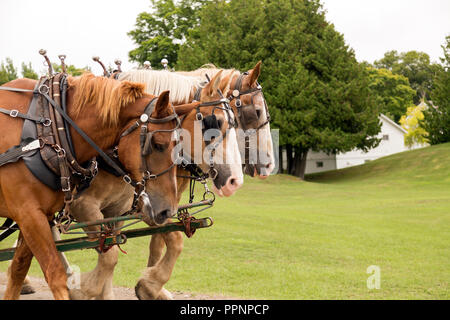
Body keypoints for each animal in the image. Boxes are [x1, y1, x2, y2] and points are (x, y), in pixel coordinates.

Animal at [0, 74, 197, 298]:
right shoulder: (33, 213)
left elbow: (18, 270)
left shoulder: (42, 214)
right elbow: (56, 273)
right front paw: (81, 288)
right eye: (158, 144)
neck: (46, 129)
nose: (167, 210)